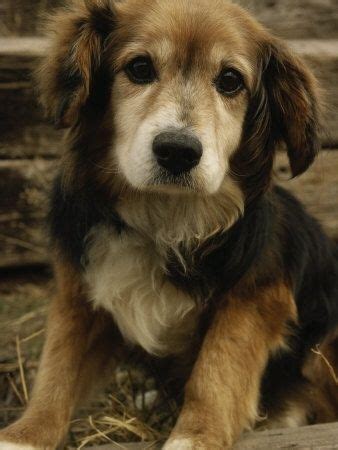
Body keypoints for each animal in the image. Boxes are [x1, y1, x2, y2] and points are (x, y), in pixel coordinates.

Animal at [0, 0, 338, 448]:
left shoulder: (254, 297)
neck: (166, 216)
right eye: (140, 68)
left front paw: (194, 436)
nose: (178, 151)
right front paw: (26, 433)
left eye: (230, 80)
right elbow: (57, 368)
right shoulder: (80, 291)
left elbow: (216, 370)